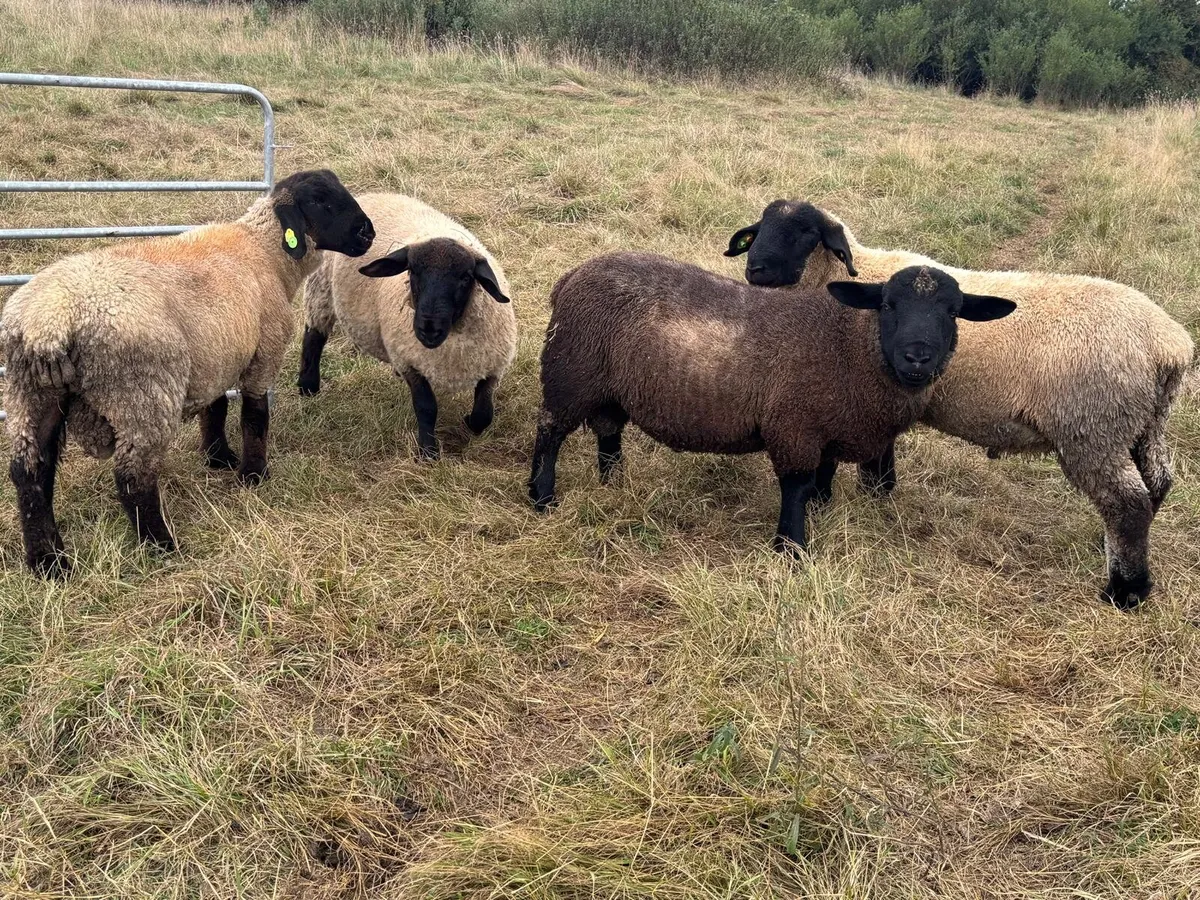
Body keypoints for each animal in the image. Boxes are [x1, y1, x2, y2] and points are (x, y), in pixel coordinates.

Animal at [2, 169, 375, 577]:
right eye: (321, 201)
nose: (367, 233)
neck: (265, 252)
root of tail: (48, 321)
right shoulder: (263, 353)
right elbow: (255, 416)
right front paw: (253, 475)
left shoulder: (218, 353)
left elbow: (216, 408)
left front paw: (218, 458)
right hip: (142, 394)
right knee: (133, 478)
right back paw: (161, 545)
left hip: (30, 394)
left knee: (29, 473)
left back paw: (48, 561)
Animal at [297, 192, 517, 460]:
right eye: (412, 271)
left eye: (466, 277)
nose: (428, 328)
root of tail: (370, 194)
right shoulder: (409, 360)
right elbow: (426, 408)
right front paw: (428, 453)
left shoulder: (493, 366)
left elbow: (484, 414)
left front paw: (468, 423)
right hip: (321, 288)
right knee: (314, 335)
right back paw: (308, 386)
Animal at [528, 254, 1015, 553]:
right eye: (888, 305)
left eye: (953, 312)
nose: (918, 356)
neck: (850, 347)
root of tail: (572, 276)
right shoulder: (794, 426)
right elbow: (797, 485)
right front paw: (792, 547)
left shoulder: (825, 424)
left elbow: (823, 476)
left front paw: (821, 510)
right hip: (570, 374)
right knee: (549, 433)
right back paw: (541, 496)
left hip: (608, 386)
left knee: (609, 432)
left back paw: (614, 484)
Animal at [726, 199, 1195, 610]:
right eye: (760, 229)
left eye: (807, 233)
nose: (755, 269)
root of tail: (1169, 345)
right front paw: (878, 490)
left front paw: (834, 497)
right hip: (1142, 423)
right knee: (1156, 483)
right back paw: (1109, 547)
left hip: (1092, 426)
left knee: (1127, 503)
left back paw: (1125, 591)